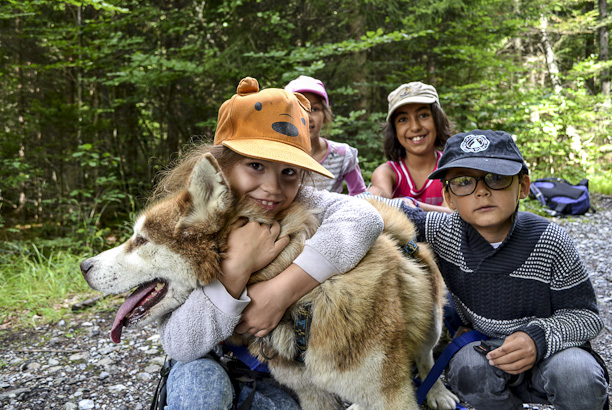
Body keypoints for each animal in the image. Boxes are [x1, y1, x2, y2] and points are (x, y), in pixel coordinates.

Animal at [79, 152, 456, 408]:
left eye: (141, 240)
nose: (83, 266)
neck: (305, 298)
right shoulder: (311, 394)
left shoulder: (388, 394)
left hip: (432, 320)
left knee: (427, 356)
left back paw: (437, 391)